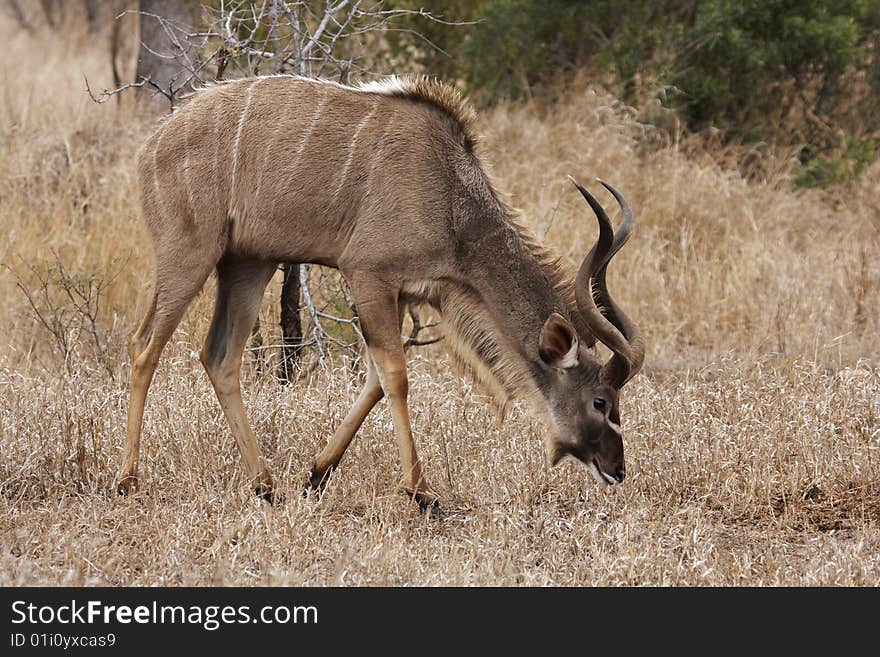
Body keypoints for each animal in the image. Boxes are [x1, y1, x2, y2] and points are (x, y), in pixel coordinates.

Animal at [117, 75, 644, 508]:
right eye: (601, 401)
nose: (617, 470)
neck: (452, 199)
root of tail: (150, 147)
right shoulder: (368, 274)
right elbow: (396, 375)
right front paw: (422, 492)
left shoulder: (404, 292)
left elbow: (374, 378)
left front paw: (316, 474)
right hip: (190, 254)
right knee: (144, 346)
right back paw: (128, 480)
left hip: (248, 264)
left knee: (220, 356)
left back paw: (266, 485)